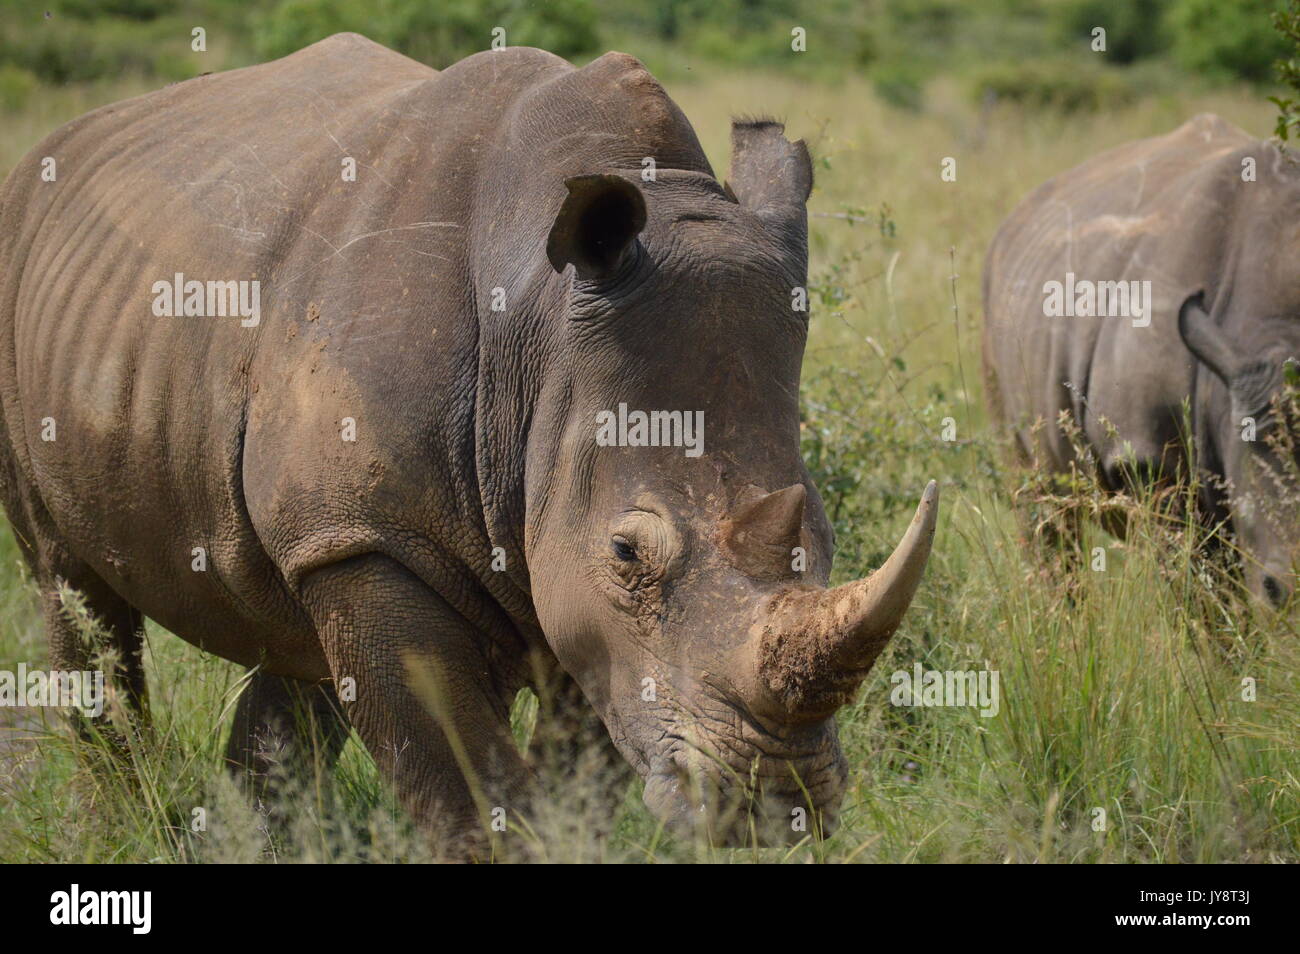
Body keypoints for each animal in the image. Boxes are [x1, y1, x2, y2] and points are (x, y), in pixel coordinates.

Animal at [0, 35, 941, 852]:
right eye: (627, 553)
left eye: (825, 539)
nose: (779, 803)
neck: (537, 326)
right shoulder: (379, 539)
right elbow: (473, 792)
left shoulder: (571, 601)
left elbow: (574, 784)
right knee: (72, 591)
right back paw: (117, 827)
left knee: (291, 620)